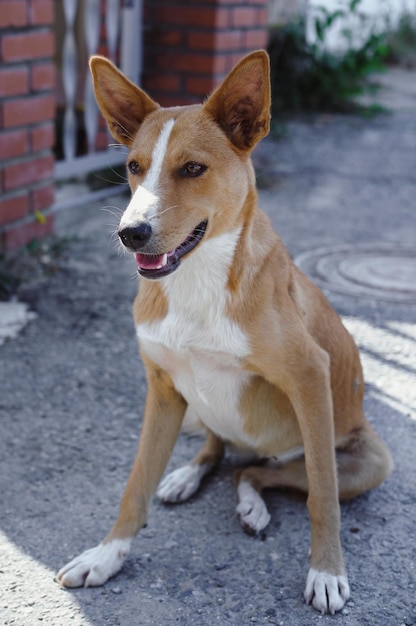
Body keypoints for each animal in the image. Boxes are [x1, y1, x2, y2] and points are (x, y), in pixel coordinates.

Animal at [57, 51, 394, 612]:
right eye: (134, 167)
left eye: (193, 168)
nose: (130, 233)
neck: (197, 279)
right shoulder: (162, 389)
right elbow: (134, 485)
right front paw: (106, 556)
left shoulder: (310, 375)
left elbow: (322, 496)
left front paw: (326, 571)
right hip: (197, 404)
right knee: (222, 454)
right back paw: (186, 476)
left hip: (367, 458)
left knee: (259, 473)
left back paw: (253, 504)